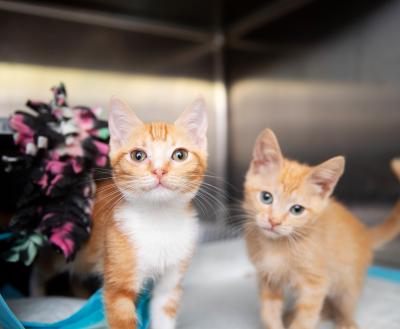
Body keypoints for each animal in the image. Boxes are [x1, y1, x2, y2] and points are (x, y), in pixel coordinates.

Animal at [72, 96, 208, 326]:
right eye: (138, 155)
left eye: (180, 155)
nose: (159, 171)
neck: (159, 221)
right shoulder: (117, 287)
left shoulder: (169, 285)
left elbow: (164, 311)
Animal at [242, 128, 400, 328]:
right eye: (266, 197)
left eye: (297, 209)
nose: (273, 221)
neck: (277, 246)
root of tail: (364, 232)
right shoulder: (267, 278)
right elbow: (269, 311)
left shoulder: (316, 285)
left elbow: (306, 318)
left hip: (348, 279)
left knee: (345, 301)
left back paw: (345, 320)